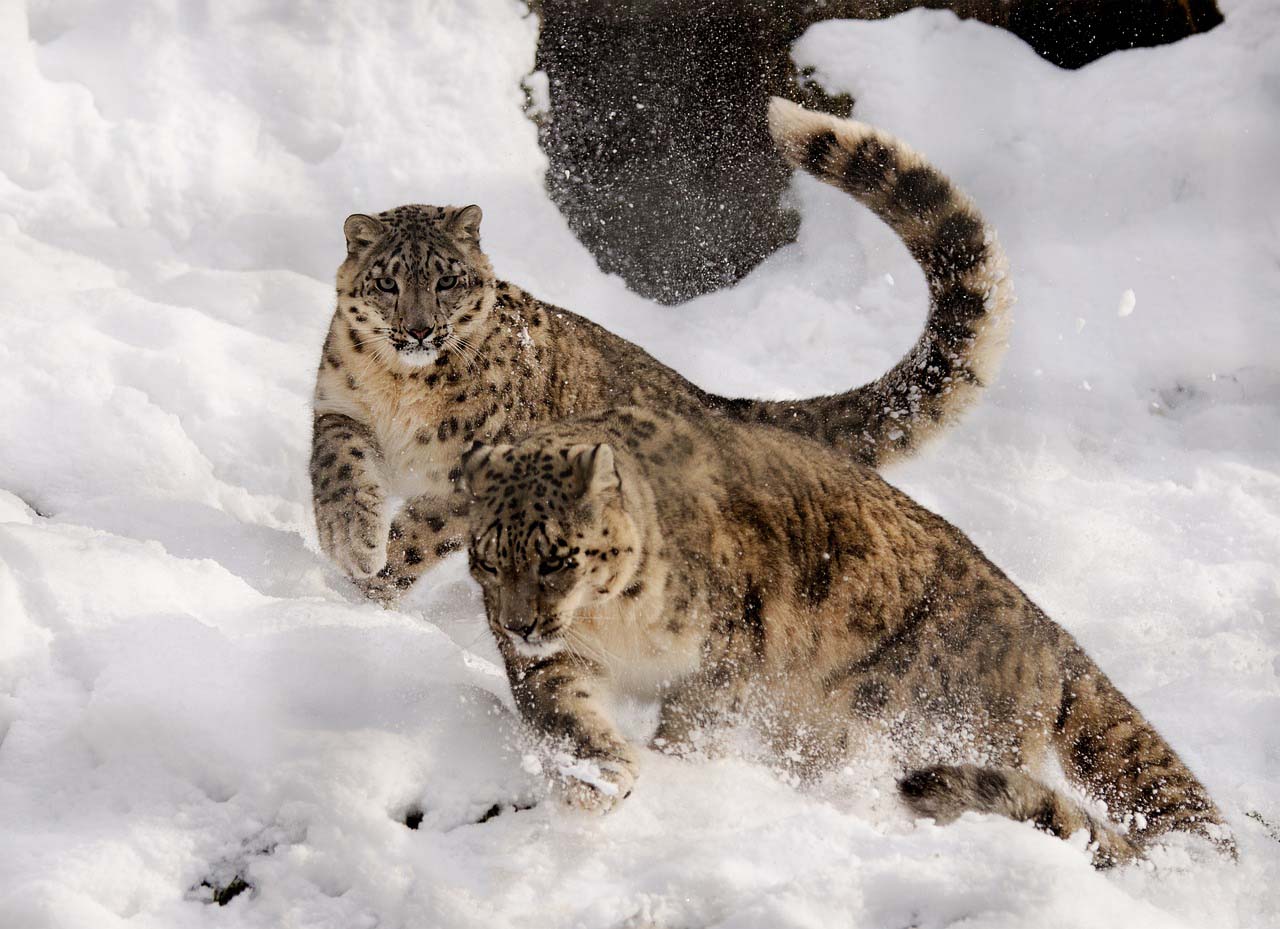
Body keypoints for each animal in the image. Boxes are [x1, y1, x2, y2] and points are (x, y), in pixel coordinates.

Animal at [310, 98, 1013, 602]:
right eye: (388, 282)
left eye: (447, 280)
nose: (419, 330)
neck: (404, 392)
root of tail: (711, 399)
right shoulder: (340, 405)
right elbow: (338, 469)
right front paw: (351, 542)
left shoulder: (476, 469)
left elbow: (421, 534)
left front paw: (370, 583)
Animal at [458, 405, 1233, 868]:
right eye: (488, 558)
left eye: (556, 557)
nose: (521, 623)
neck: (613, 625)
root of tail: (1045, 629)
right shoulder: (558, 661)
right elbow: (566, 709)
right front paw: (600, 776)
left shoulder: (727, 655)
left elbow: (695, 723)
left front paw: (677, 767)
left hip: (932, 724)